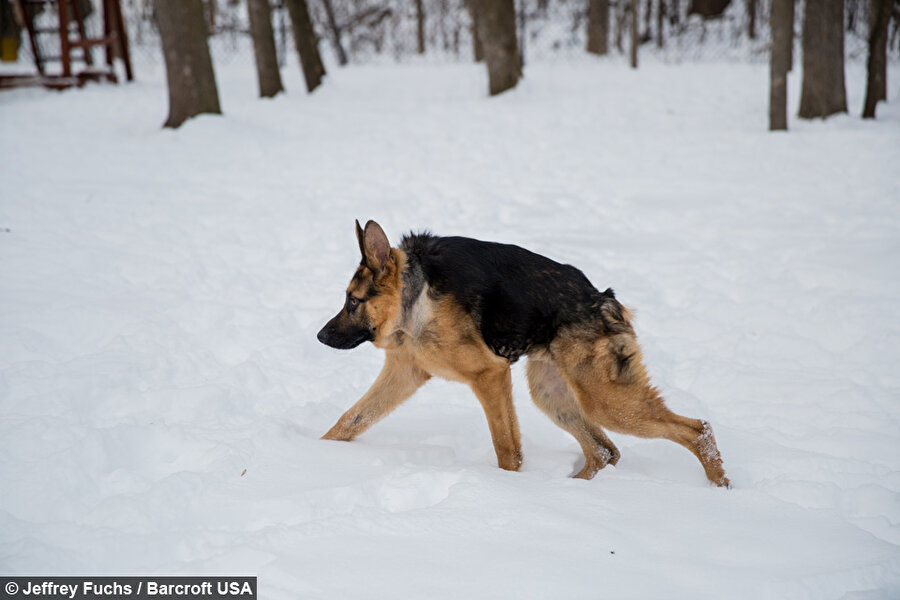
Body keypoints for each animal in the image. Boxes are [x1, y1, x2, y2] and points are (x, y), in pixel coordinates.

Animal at [320, 220, 728, 488]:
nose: (321, 336)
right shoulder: (405, 373)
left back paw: (719, 487)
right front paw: (316, 453)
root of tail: (605, 300)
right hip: (553, 395)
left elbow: (507, 450)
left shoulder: (490, 375)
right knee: (605, 451)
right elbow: (349, 421)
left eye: (353, 301)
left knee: (697, 430)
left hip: (605, 401)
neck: (416, 297)